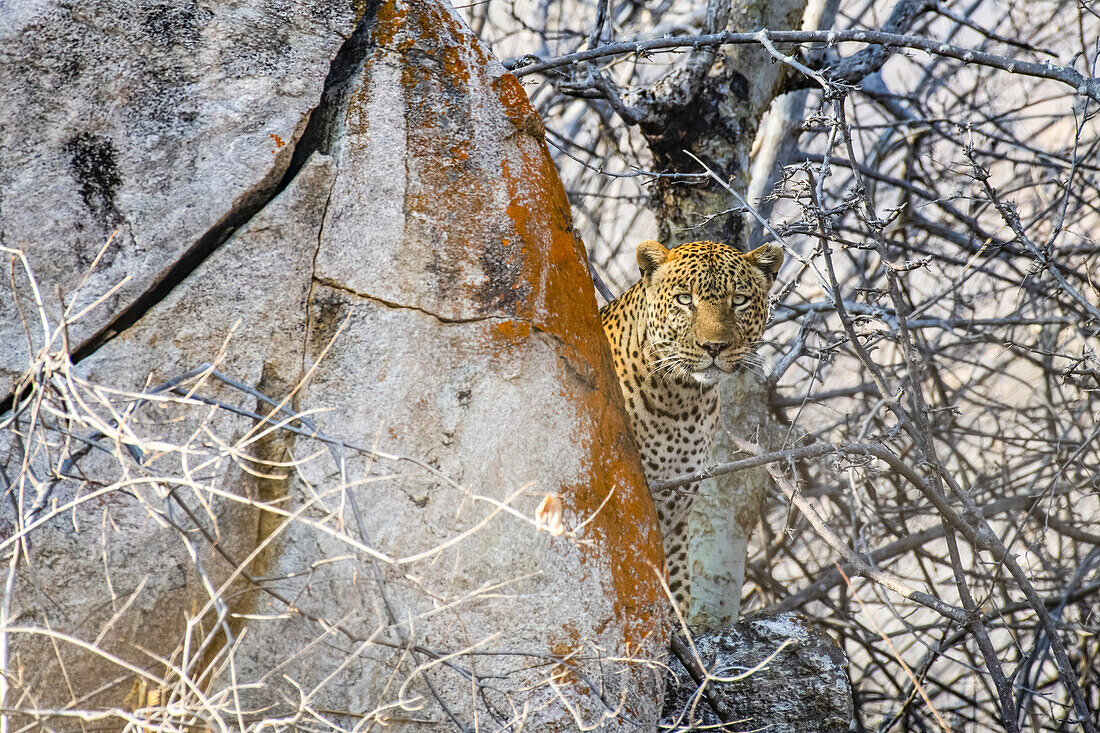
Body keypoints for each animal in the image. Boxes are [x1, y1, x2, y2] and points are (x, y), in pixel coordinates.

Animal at [602, 238, 783, 611]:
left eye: (739, 300)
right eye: (685, 299)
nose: (714, 347)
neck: (680, 402)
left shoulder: (674, 514)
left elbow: (677, 590)